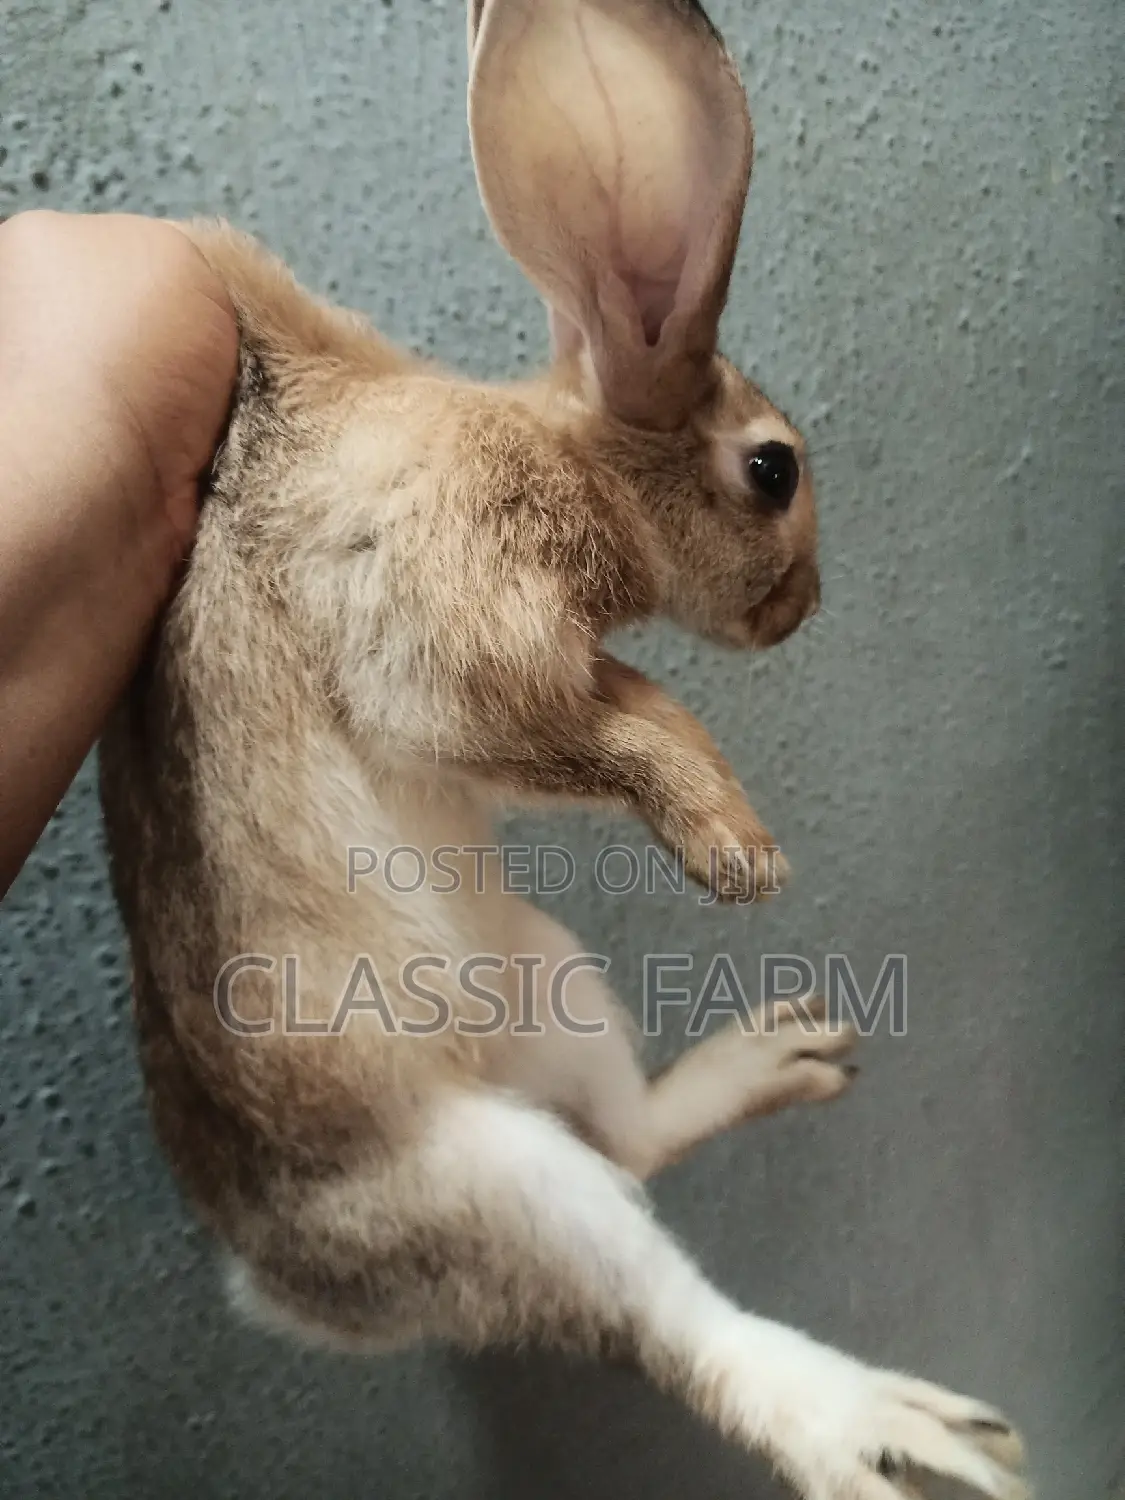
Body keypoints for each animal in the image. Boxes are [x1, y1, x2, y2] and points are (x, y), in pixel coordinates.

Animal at [98, 1, 1028, 1496]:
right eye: (773, 470)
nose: (800, 608)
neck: (571, 458)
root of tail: (281, 1289)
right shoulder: (457, 631)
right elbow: (618, 718)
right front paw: (740, 851)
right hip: (507, 1187)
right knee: (672, 1324)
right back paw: (904, 1437)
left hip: (552, 983)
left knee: (633, 1133)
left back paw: (787, 1058)